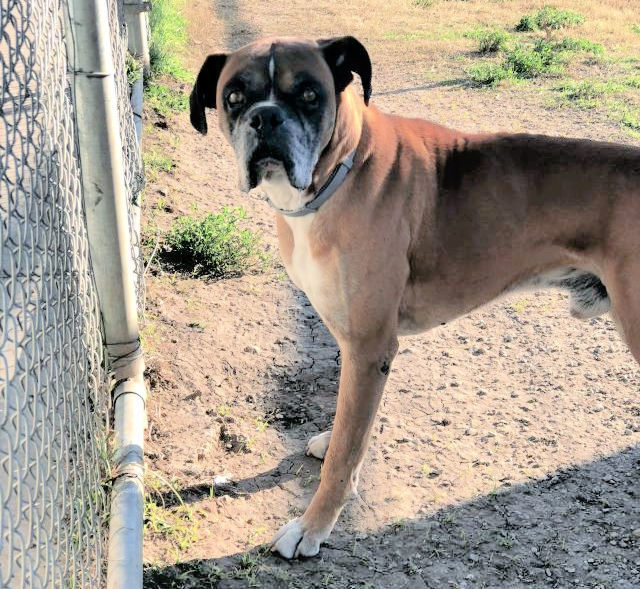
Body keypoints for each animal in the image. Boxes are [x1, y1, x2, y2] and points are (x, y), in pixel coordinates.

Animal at [190, 35, 640, 556]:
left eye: (308, 95)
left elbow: (343, 454)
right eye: (234, 97)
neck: (342, 170)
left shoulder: (369, 348)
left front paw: (312, 525)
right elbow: (351, 431)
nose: (265, 118)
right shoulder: (358, 349)